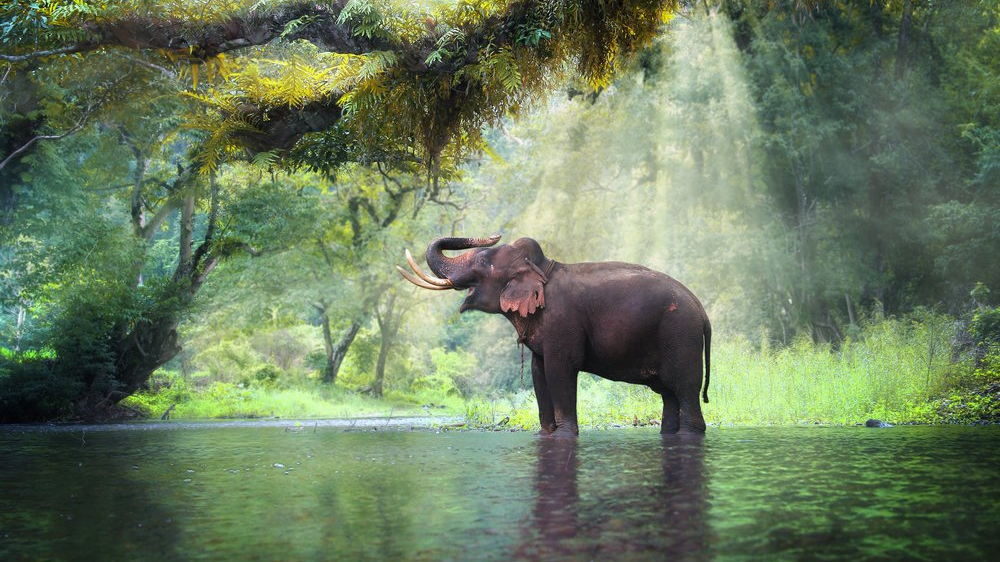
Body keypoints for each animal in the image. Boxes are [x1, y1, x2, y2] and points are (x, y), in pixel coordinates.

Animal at [397, 235, 711, 437]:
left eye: (484, 261)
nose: (493, 235)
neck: (543, 268)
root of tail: (703, 312)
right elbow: (539, 373)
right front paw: (546, 434)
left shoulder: (563, 322)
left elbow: (561, 369)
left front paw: (564, 435)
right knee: (669, 395)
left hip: (681, 336)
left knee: (684, 390)